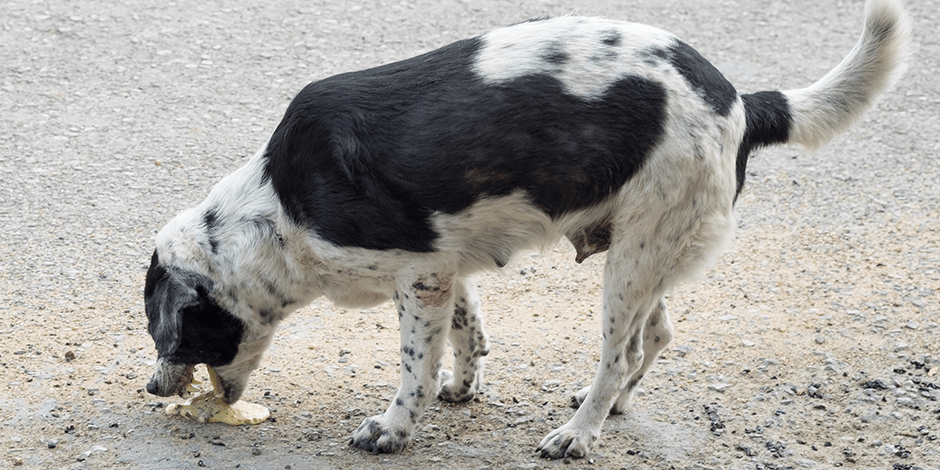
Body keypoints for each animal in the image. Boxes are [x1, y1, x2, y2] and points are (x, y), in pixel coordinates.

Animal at [147, 0, 912, 458]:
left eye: (168, 334)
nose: (154, 390)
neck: (278, 209)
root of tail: (742, 101)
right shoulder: (444, 268)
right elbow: (468, 335)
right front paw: (461, 389)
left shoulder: (416, 277)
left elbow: (413, 367)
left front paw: (394, 427)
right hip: (652, 252)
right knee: (655, 336)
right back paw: (609, 409)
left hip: (632, 262)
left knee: (619, 354)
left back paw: (578, 433)